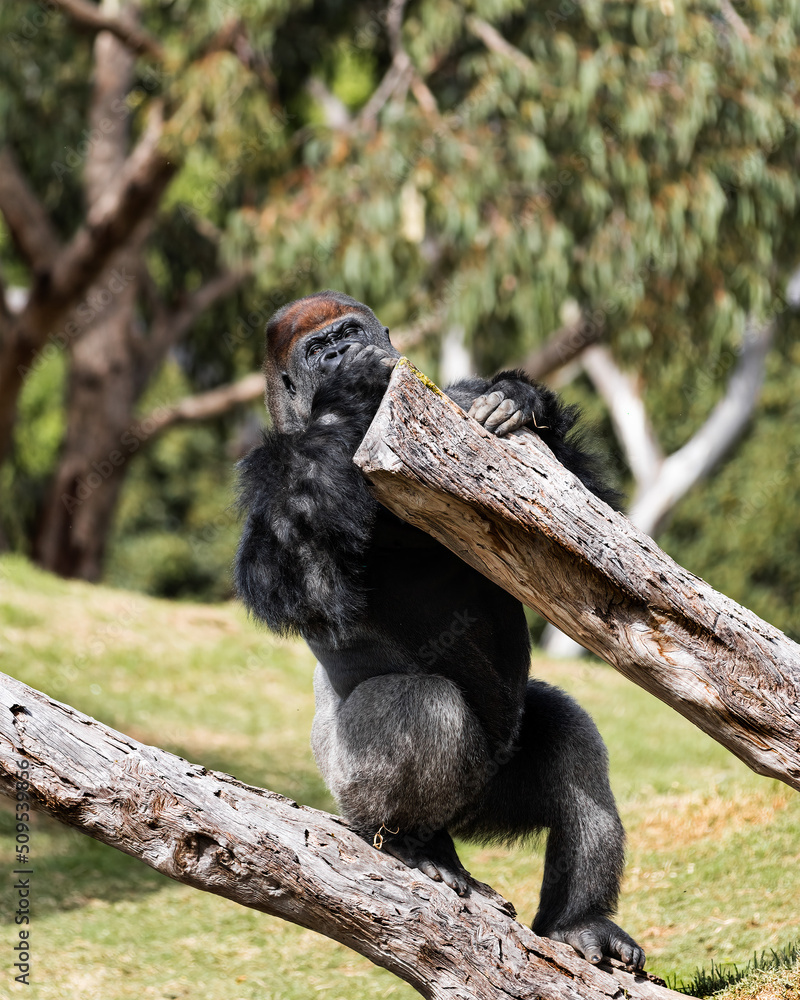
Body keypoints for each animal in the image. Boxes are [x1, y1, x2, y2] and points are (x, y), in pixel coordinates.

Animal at [235, 290, 645, 970]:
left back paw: (576, 922)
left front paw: (520, 398)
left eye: (350, 331)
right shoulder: (271, 465)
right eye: (320, 351)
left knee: (572, 747)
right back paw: (415, 846)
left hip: (489, 801)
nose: (346, 353)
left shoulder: (449, 395)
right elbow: (301, 575)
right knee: (424, 705)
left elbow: (586, 538)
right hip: (352, 799)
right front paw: (347, 395)